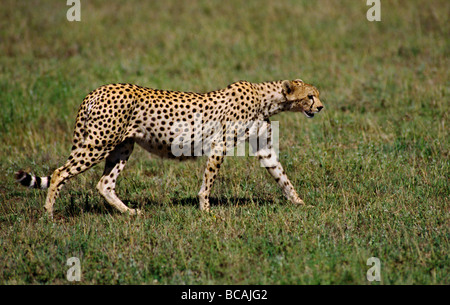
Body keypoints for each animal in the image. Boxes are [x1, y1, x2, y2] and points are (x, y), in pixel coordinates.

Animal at [14, 79, 324, 215]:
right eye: (311, 96)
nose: (320, 107)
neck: (267, 98)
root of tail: (95, 91)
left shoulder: (264, 149)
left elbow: (282, 176)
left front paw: (300, 203)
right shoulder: (220, 145)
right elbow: (208, 181)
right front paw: (206, 210)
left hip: (122, 147)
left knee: (104, 184)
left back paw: (130, 213)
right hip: (98, 143)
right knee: (59, 173)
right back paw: (49, 214)